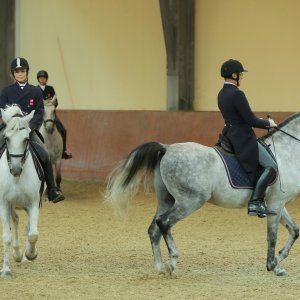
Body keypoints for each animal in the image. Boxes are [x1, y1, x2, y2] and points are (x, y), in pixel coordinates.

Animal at [105, 112, 300, 276]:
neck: (286, 153)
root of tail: (167, 148)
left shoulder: (276, 204)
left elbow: (294, 230)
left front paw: (279, 258)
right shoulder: (276, 203)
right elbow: (272, 236)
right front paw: (274, 266)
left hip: (167, 200)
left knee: (154, 229)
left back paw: (160, 267)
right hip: (190, 201)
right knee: (164, 223)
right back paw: (172, 261)